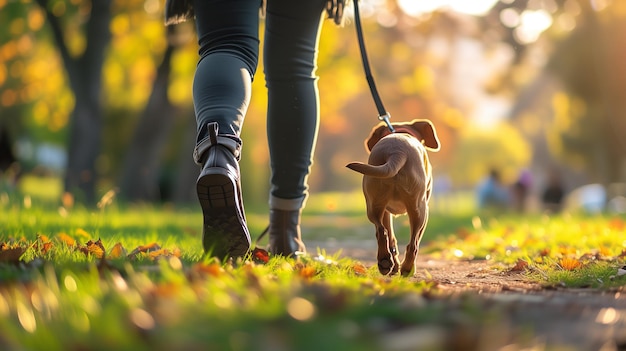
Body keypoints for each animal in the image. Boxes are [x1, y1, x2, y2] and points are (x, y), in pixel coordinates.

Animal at [346, 119, 438, 276]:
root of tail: (396, 152)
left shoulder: (385, 212)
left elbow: (391, 236)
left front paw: (393, 264)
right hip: (419, 210)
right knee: (413, 244)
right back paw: (407, 268)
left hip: (374, 205)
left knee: (381, 232)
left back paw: (385, 262)